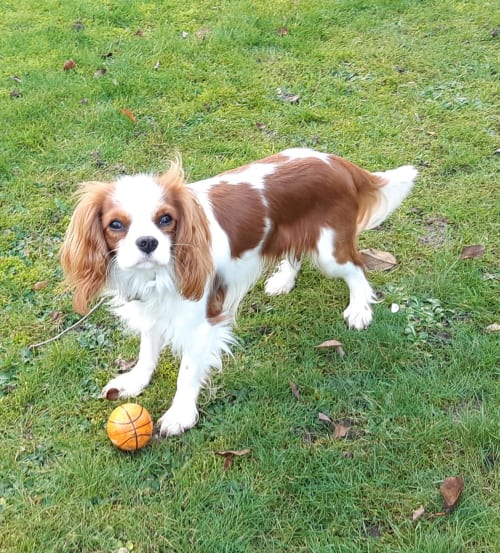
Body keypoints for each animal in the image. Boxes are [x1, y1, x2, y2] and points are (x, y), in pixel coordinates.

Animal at [60, 148, 416, 436]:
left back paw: (359, 309)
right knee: (296, 254)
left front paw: (180, 414)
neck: (156, 275)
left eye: (166, 219)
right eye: (116, 225)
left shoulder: (202, 323)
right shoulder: (153, 309)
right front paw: (134, 382)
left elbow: (187, 372)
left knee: (357, 268)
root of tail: (336, 163)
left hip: (330, 252)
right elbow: (147, 352)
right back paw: (284, 280)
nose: (147, 243)